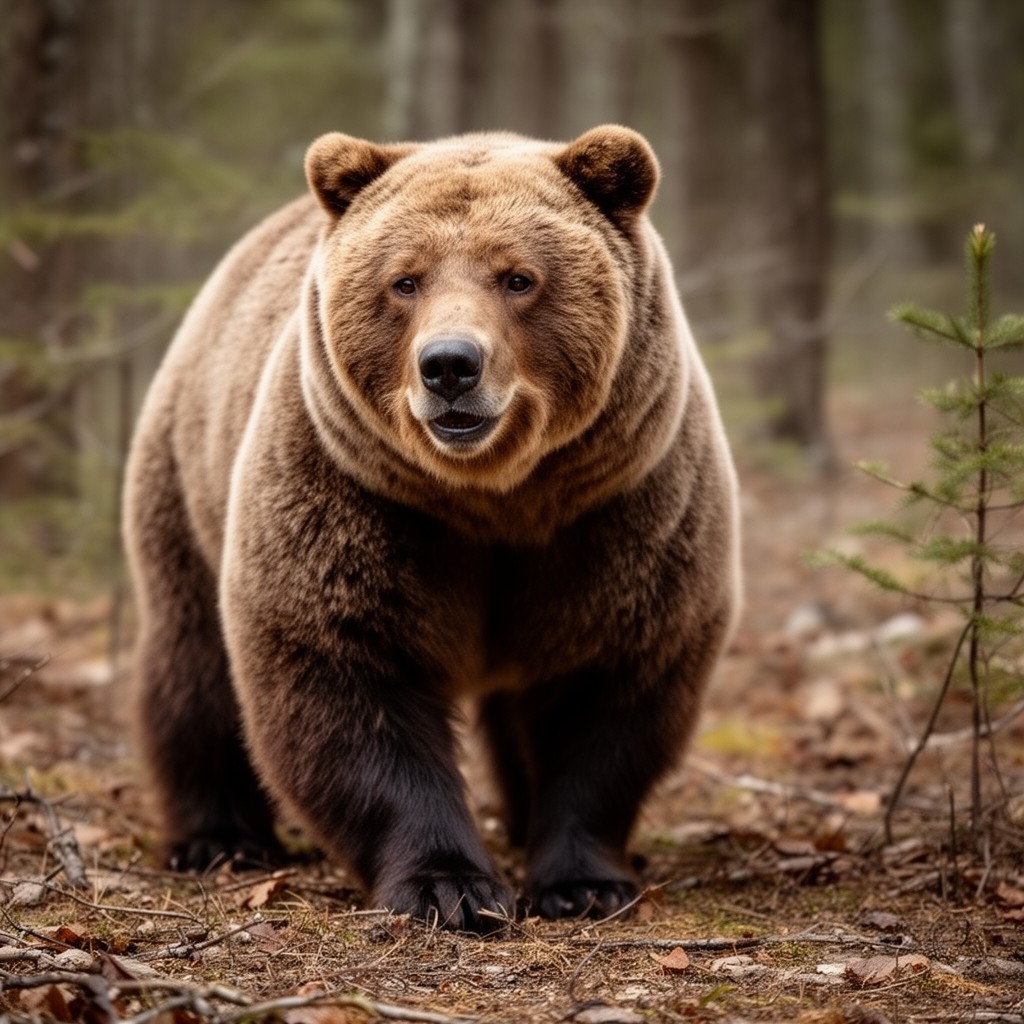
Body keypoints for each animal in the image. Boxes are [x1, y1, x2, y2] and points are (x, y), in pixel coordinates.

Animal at [122, 125, 741, 933]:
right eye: (405, 281)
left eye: (518, 278)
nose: (449, 365)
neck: (492, 497)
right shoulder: (355, 497)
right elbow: (346, 673)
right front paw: (450, 886)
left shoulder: (619, 511)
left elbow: (607, 691)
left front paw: (585, 882)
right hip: (187, 479)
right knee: (192, 664)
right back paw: (216, 838)